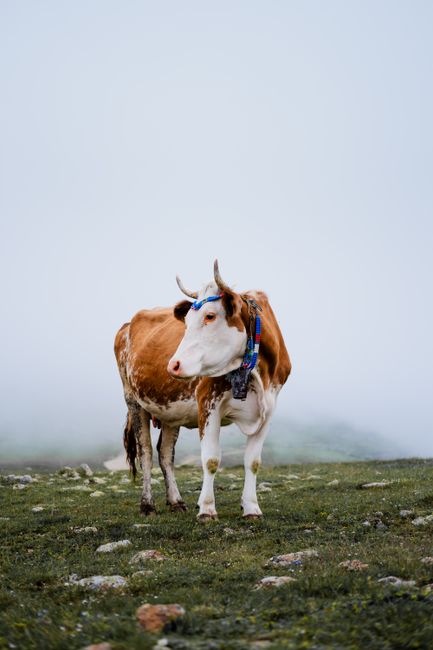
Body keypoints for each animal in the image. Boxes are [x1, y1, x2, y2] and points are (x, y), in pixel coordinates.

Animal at [114, 260, 291, 520]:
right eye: (186, 321)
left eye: (210, 315)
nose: (173, 365)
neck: (257, 372)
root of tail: (127, 325)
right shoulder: (208, 403)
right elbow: (211, 460)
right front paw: (207, 509)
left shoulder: (269, 407)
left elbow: (253, 461)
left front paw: (251, 507)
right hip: (133, 400)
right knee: (145, 452)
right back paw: (147, 504)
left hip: (170, 410)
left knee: (165, 453)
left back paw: (176, 501)